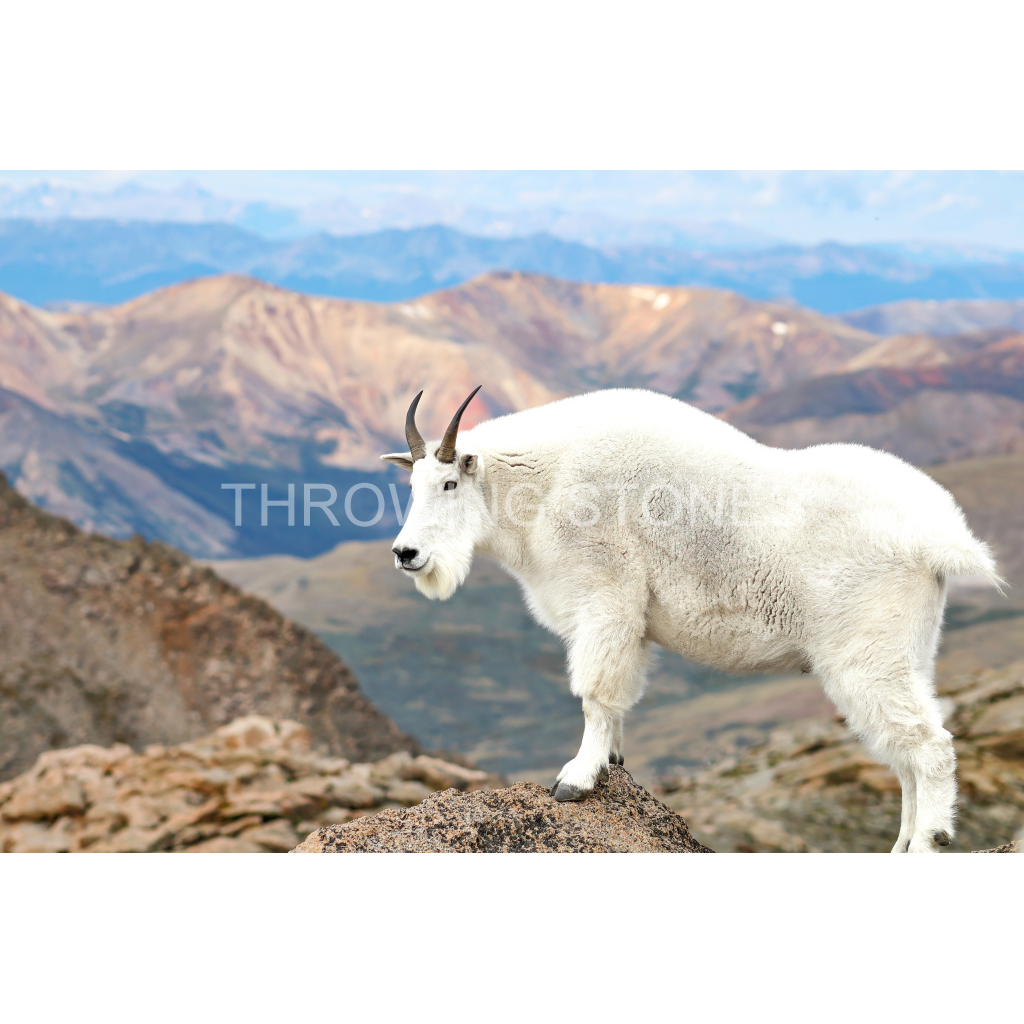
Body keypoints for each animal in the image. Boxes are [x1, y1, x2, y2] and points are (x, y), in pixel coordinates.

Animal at [381, 387, 1002, 856]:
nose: (406, 554)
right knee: (905, 751)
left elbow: (594, 693)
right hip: (910, 649)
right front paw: (612, 761)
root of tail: (939, 538)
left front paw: (576, 779)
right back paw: (901, 845)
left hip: (865, 651)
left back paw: (926, 844)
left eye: (449, 484)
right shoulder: (630, 622)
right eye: (410, 485)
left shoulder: (605, 597)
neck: (540, 487)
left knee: (929, 745)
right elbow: (619, 695)